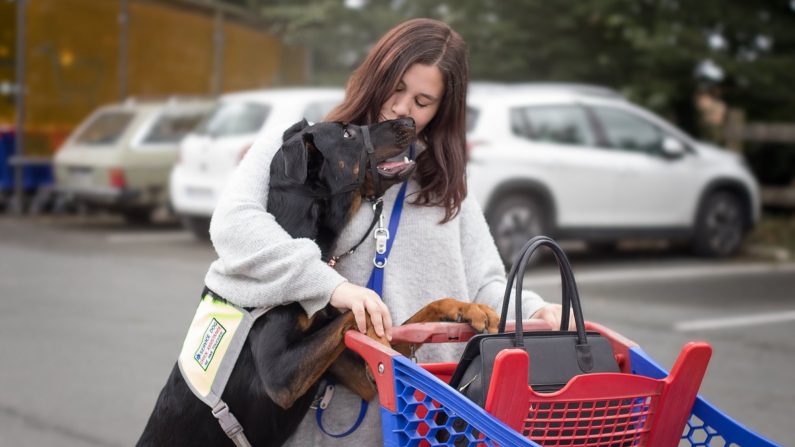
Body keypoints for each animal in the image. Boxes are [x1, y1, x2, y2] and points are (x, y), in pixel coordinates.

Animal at [137, 117, 498, 446]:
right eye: (348, 133)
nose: (408, 121)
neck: (300, 233)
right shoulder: (282, 378)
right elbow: (360, 309)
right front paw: (375, 330)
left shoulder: (354, 374)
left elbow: (419, 317)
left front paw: (470, 309)